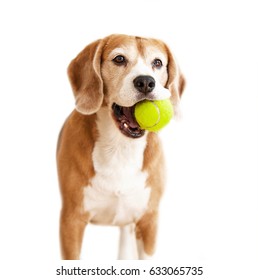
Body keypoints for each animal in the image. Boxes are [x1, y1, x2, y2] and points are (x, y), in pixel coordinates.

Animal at [57, 34, 184, 260]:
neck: (120, 147)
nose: (146, 82)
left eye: (157, 63)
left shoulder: (149, 220)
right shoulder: (71, 220)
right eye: (119, 59)